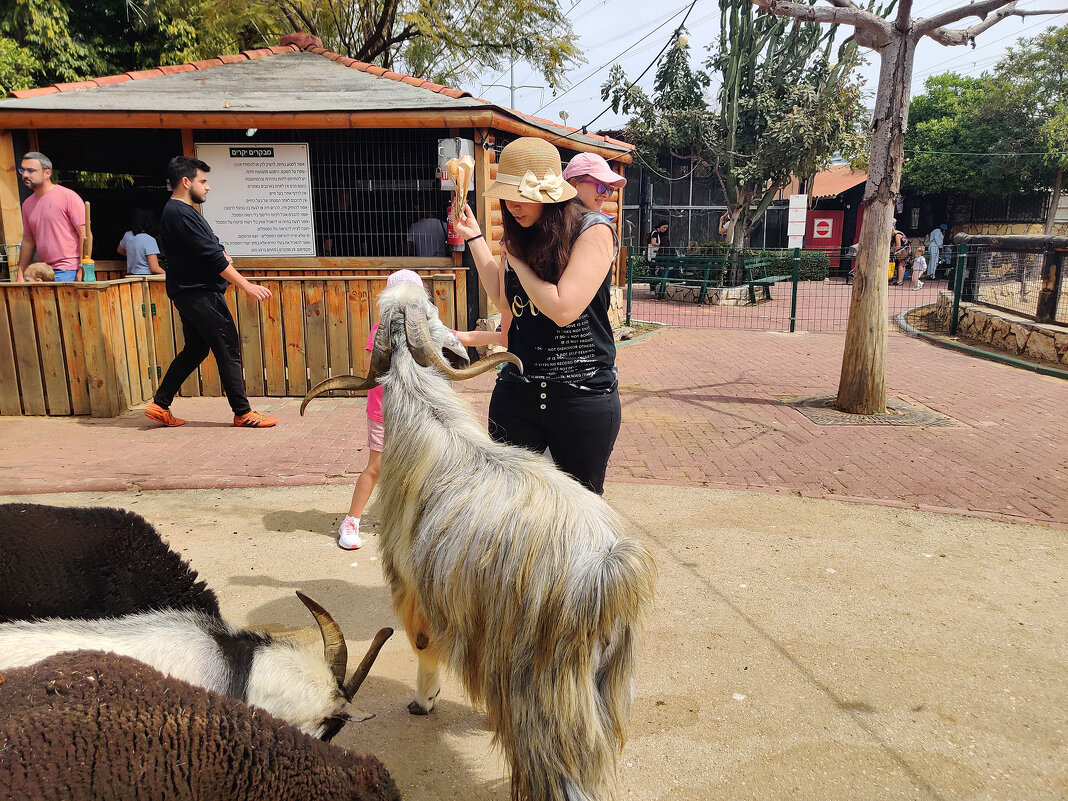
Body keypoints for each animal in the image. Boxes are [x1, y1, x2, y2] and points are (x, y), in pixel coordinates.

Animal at [296, 284, 653, 801]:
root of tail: (608, 572)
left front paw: (423, 702)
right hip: (606, 684)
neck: (428, 416)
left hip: (545, 694)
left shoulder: (413, 587)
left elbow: (423, 646)